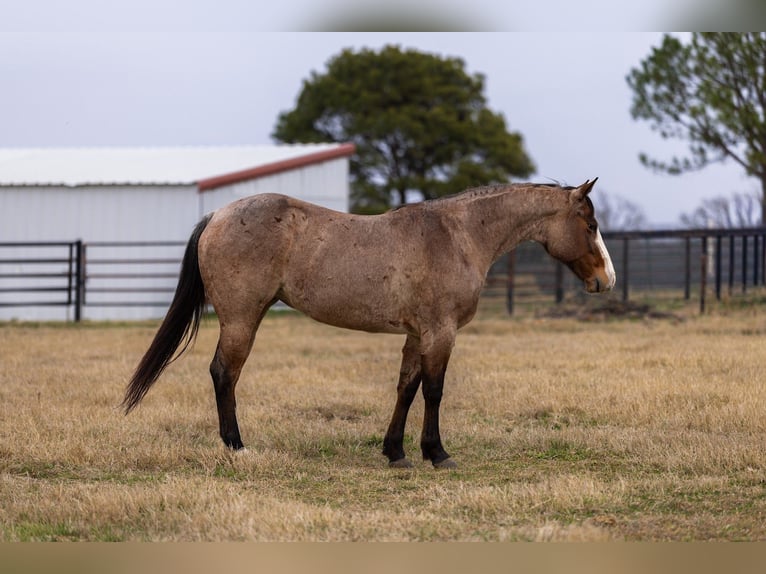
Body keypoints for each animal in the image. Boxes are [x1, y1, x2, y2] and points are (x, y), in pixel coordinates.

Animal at [123, 179, 615, 469]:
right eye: (590, 224)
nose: (606, 280)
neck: (457, 236)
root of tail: (217, 215)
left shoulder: (417, 335)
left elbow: (406, 389)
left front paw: (395, 452)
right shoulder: (441, 333)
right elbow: (434, 392)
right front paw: (437, 453)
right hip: (242, 319)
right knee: (225, 373)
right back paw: (236, 446)